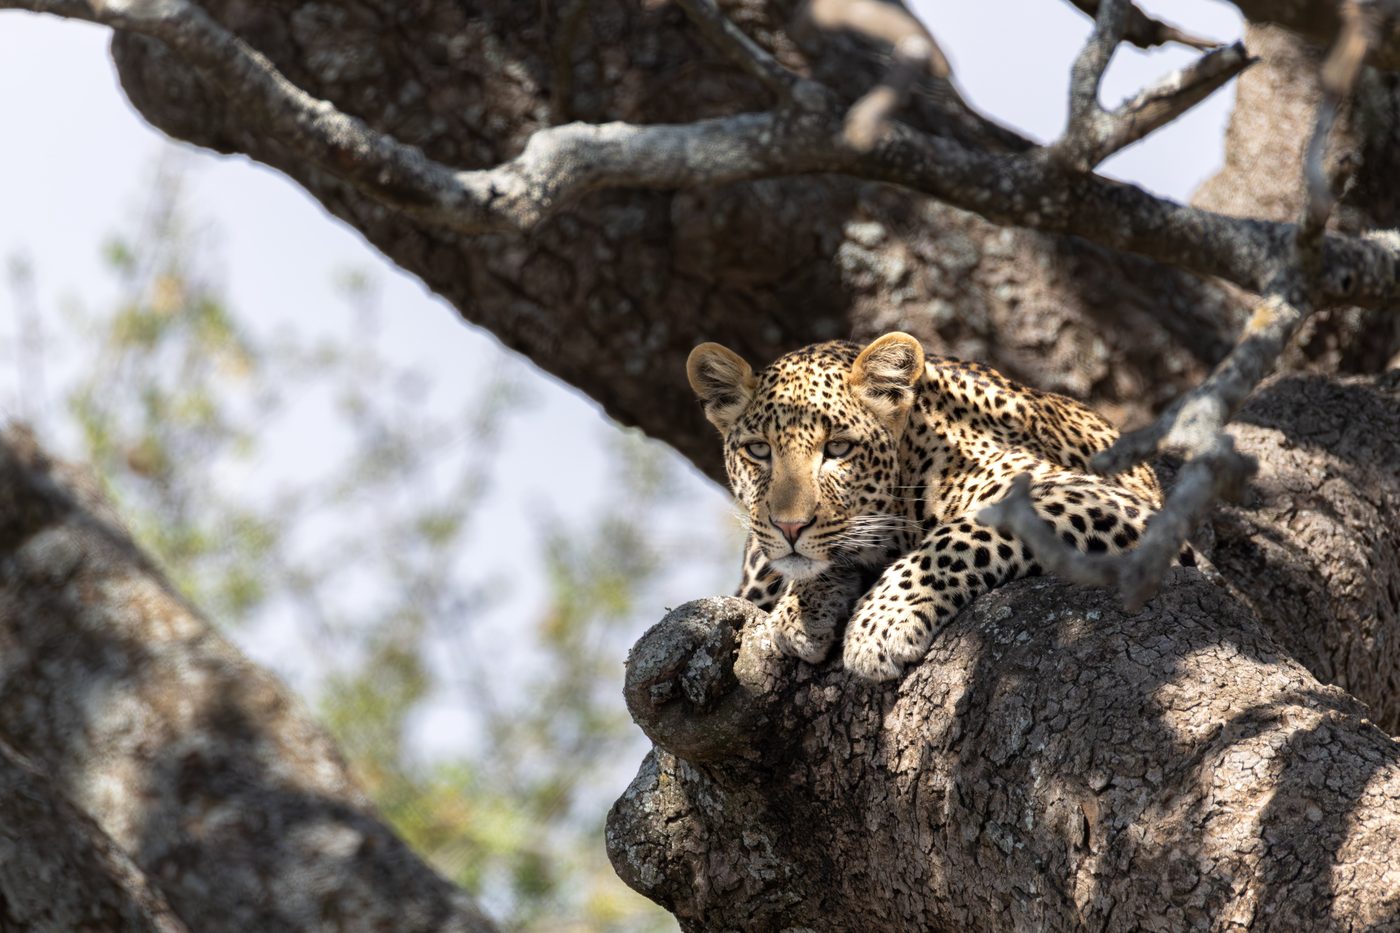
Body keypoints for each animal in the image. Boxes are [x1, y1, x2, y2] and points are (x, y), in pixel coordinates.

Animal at [687, 331, 1176, 682]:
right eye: (759, 450)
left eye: (838, 448)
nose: (789, 527)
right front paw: (802, 611)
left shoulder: (1087, 495)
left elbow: (957, 538)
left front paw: (881, 624)